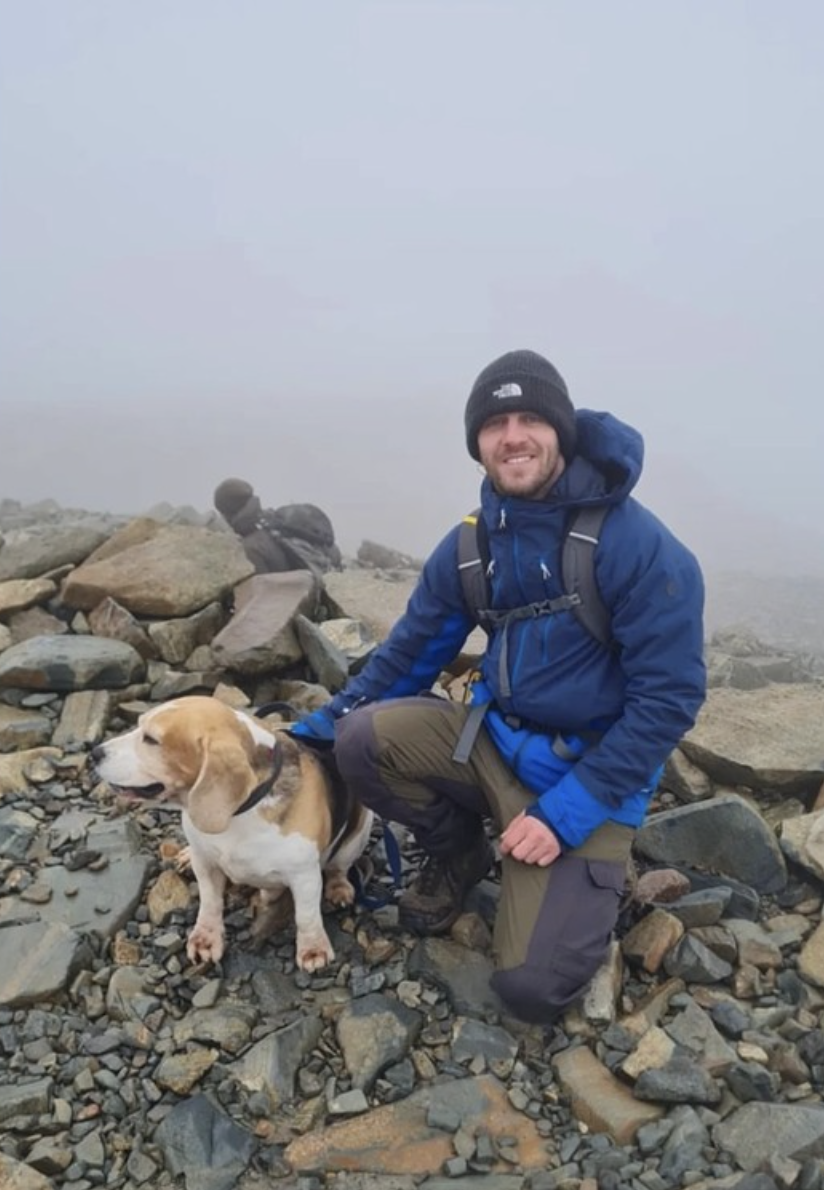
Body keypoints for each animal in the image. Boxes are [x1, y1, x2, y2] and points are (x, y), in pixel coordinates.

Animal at [91, 694, 371, 971]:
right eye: (138, 725)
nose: (94, 752)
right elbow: (210, 902)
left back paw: (338, 888)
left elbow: (306, 914)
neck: (240, 813)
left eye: (151, 739)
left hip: (358, 833)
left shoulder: (305, 875)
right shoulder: (206, 863)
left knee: (338, 868)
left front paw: (313, 949)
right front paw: (206, 938)